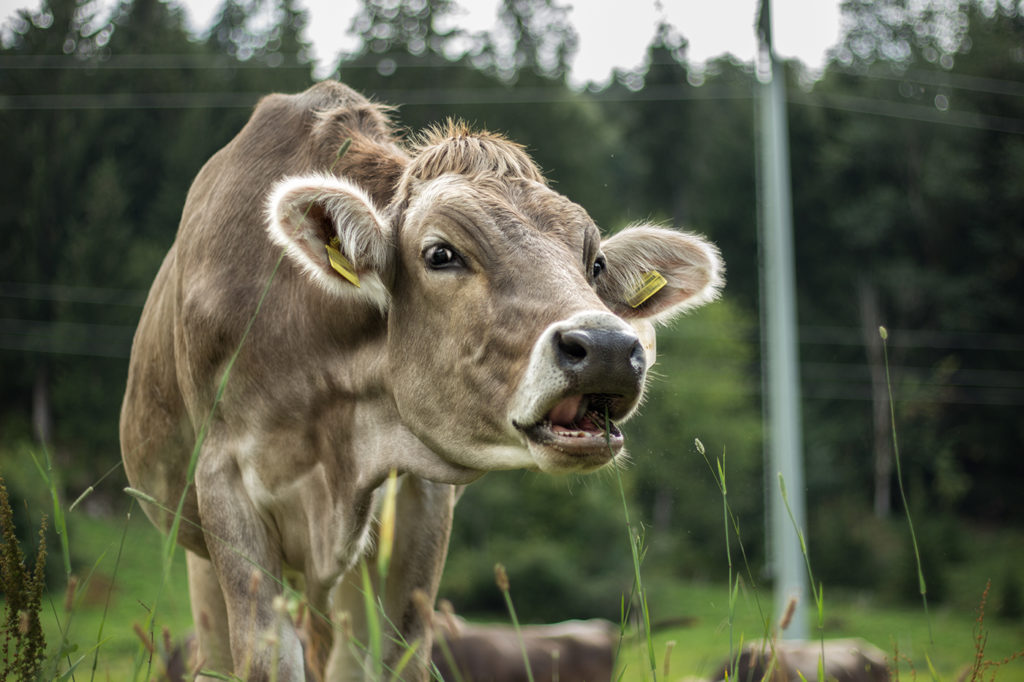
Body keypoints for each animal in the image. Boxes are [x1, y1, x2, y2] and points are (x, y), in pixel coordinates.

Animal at [119, 80, 724, 679]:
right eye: (441, 253)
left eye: (595, 264)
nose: (607, 348)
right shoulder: (224, 482)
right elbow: (266, 658)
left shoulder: (420, 501)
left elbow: (394, 655)